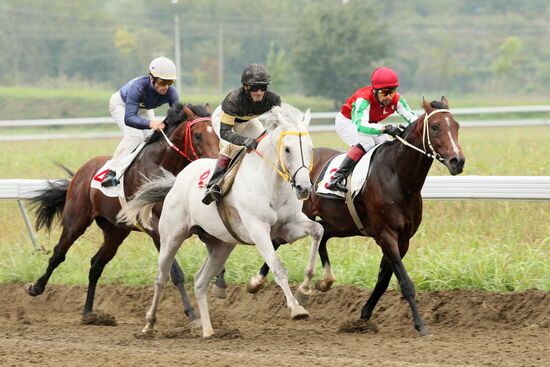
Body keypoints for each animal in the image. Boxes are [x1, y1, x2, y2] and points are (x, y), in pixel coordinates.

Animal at [26, 102, 220, 324]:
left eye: (217, 133)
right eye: (197, 135)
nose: (214, 165)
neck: (161, 166)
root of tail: (81, 172)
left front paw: (219, 282)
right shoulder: (156, 228)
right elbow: (174, 272)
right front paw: (192, 313)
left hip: (116, 231)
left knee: (96, 264)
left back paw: (89, 311)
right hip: (76, 221)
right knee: (59, 254)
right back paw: (36, 287)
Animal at [120, 103, 326, 340]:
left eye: (311, 149)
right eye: (288, 149)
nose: (304, 188)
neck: (270, 183)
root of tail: (177, 180)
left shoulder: (287, 227)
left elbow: (318, 230)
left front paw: (305, 291)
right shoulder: (258, 230)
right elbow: (278, 268)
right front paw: (296, 308)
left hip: (221, 245)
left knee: (200, 281)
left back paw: (208, 330)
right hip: (171, 237)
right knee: (162, 277)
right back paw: (150, 323)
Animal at [246, 97, 466, 336]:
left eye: (456, 126)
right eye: (435, 127)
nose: (457, 161)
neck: (400, 178)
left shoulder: (403, 240)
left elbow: (384, 280)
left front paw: (364, 315)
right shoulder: (386, 235)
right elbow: (405, 282)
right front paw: (420, 325)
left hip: (340, 224)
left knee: (321, 236)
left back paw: (325, 281)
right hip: (299, 216)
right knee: (277, 240)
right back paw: (256, 282)